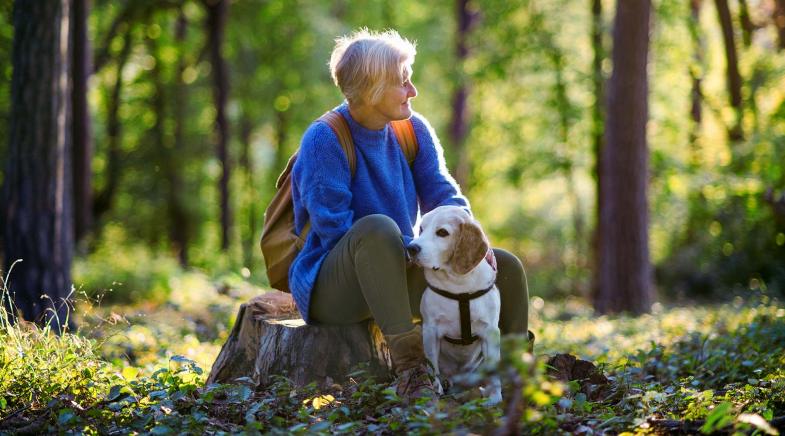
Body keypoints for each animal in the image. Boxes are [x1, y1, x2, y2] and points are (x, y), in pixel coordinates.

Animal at [408, 206, 500, 404]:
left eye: (442, 232)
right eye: (421, 229)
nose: (411, 248)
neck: (459, 286)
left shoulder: (490, 332)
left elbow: (495, 372)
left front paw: (496, 398)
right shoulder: (430, 330)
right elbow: (432, 366)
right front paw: (436, 389)